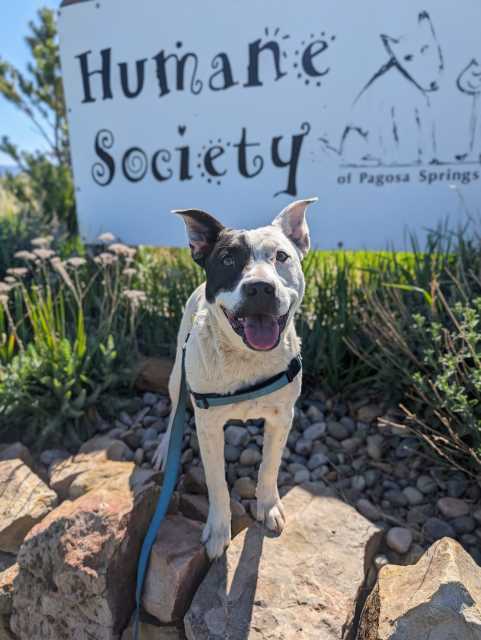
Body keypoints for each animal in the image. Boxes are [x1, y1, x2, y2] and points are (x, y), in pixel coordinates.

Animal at [152, 198, 316, 556]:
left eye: (281, 256)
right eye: (227, 260)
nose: (260, 288)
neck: (247, 359)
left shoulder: (282, 417)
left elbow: (269, 466)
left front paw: (268, 506)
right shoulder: (209, 427)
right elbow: (216, 483)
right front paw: (217, 530)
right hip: (176, 376)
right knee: (173, 413)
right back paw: (164, 449)